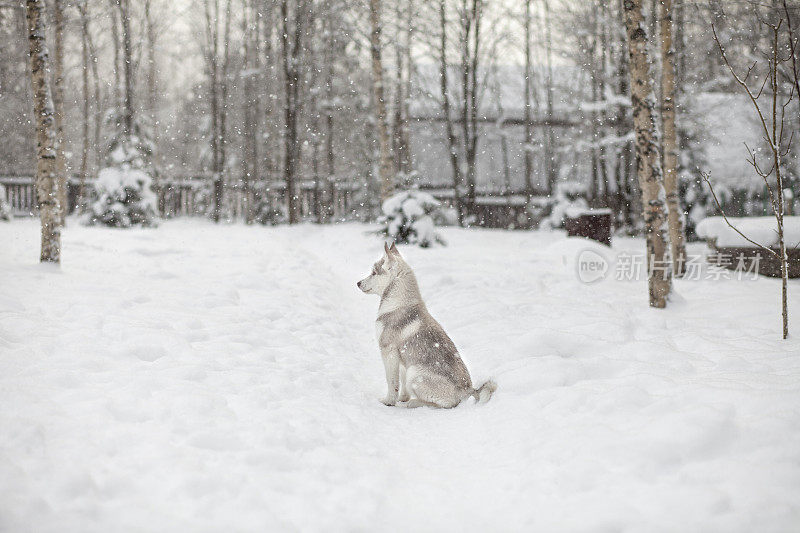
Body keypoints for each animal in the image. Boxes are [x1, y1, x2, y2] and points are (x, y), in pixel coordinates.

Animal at [356, 243, 494, 410]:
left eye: (373, 273)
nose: (358, 283)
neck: (398, 303)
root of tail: (467, 390)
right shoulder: (402, 359)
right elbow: (401, 382)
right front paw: (402, 398)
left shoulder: (388, 351)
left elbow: (392, 382)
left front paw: (389, 401)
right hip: (411, 370)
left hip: (415, 374)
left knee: (445, 405)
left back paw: (414, 403)